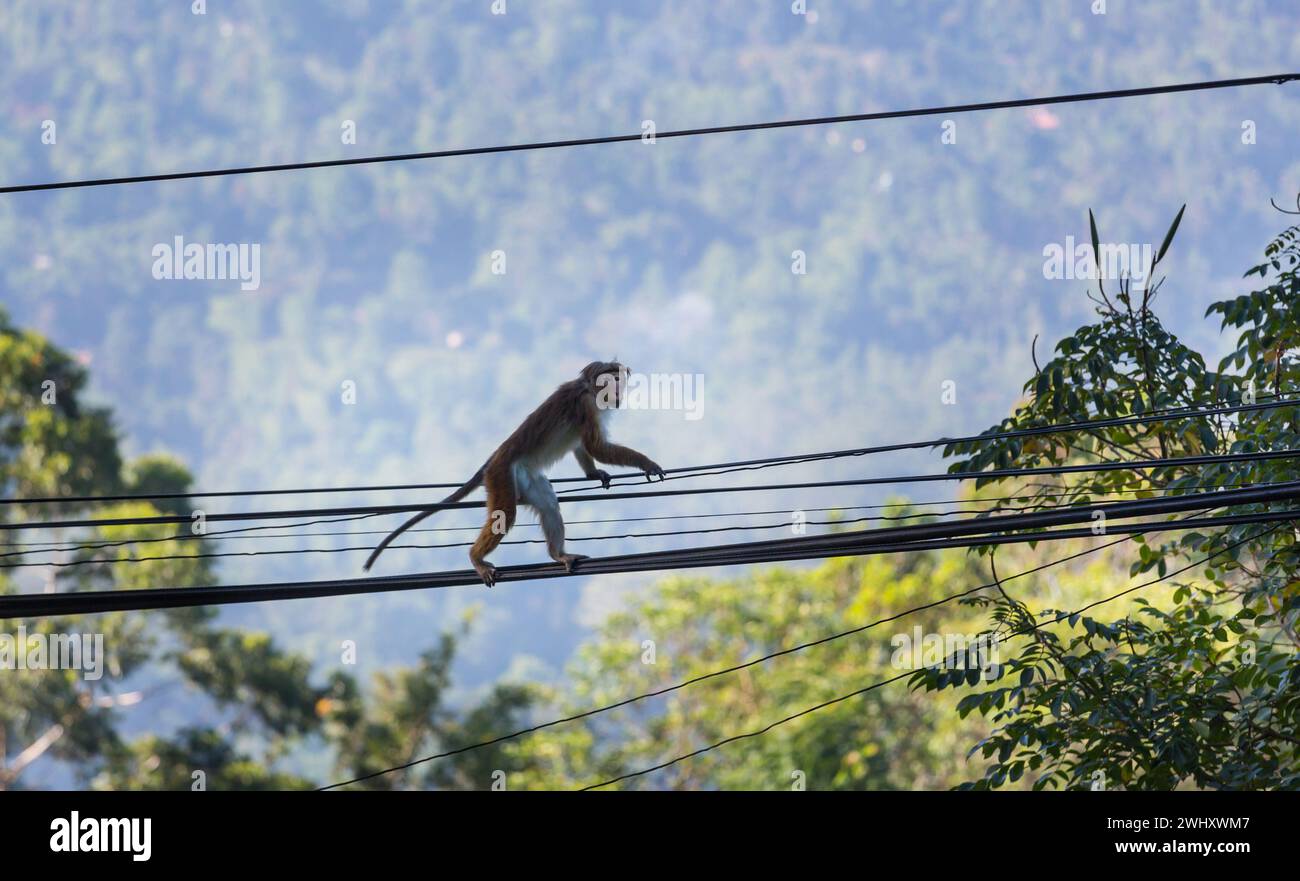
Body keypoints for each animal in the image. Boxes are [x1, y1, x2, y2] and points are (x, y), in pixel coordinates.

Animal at [364, 358, 660, 587]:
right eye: (611, 379)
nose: (618, 390)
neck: (590, 391)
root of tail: (494, 458)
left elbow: (582, 446)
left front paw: (595, 473)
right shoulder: (587, 405)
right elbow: (596, 446)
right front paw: (646, 463)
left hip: (525, 478)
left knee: (548, 505)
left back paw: (558, 555)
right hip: (501, 475)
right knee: (505, 514)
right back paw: (476, 558)